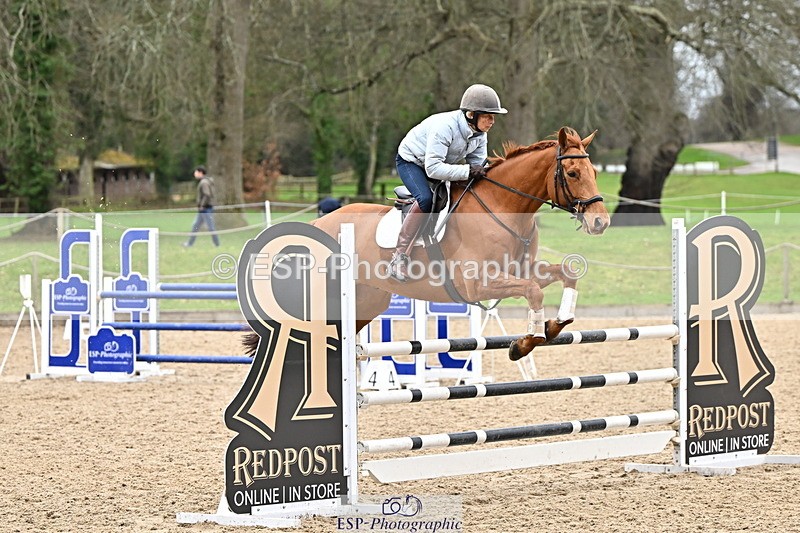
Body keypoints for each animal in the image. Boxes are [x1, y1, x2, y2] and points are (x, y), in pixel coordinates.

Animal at [245, 127, 609, 362]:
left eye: (594, 171)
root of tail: (317, 223)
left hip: (367, 301)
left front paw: (555, 324)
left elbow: (566, 273)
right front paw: (526, 342)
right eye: (573, 173)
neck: (504, 207)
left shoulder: (523, 269)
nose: (601, 222)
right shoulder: (478, 284)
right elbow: (533, 290)